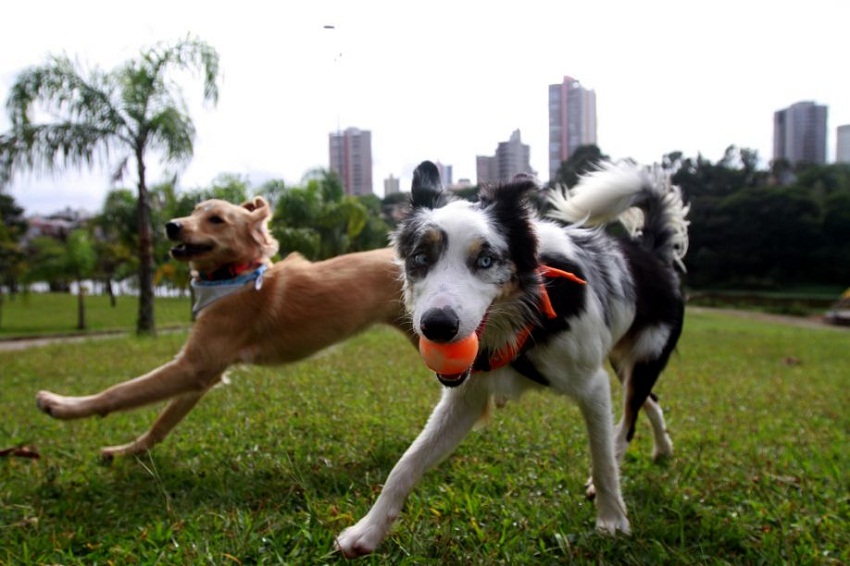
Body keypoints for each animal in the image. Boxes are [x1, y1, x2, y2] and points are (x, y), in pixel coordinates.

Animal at [36, 197, 410, 460]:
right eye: (193, 211)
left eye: (216, 220)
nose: (171, 225)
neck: (234, 277)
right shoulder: (202, 373)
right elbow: (162, 422)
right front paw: (128, 452)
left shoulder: (194, 366)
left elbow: (121, 391)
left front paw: (61, 405)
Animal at [334, 161, 684, 560]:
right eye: (420, 258)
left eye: (486, 260)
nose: (437, 326)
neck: (526, 311)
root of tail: (651, 251)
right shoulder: (465, 397)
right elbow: (405, 465)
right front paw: (367, 531)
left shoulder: (591, 384)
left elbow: (601, 457)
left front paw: (611, 519)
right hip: (623, 360)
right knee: (647, 401)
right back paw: (663, 448)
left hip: (645, 356)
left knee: (629, 418)